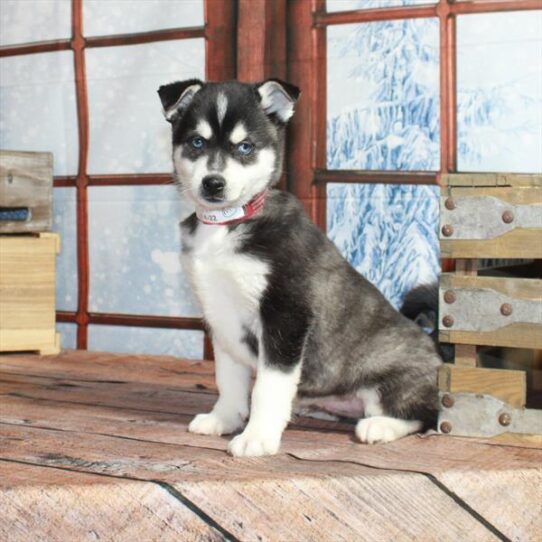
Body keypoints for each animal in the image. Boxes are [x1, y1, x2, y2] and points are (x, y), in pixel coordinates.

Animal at [159, 77, 444, 460]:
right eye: (197, 142)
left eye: (245, 146)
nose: (213, 183)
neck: (227, 226)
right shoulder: (221, 317)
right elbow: (229, 378)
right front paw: (224, 418)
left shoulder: (286, 314)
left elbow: (268, 387)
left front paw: (257, 436)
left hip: (392, 382)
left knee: (427, 416)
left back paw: (379, 426)